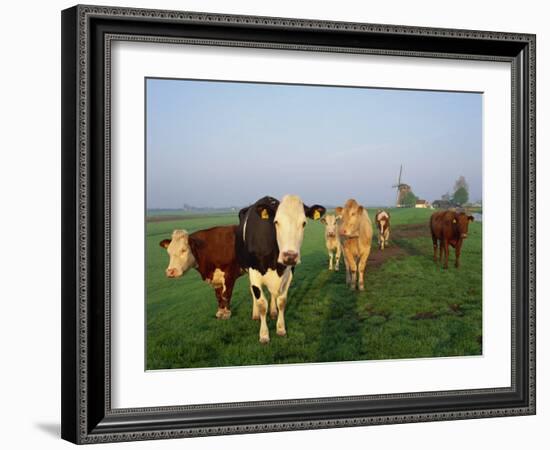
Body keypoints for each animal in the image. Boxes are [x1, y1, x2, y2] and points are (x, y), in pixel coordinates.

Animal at [237, 194, 328, 344]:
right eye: (276, 222)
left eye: (304, 223)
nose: (290, 256)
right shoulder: (254, 272)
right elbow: (262, 304)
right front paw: (264, 334)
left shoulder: (288, 273)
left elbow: (282, 301)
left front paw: (280, 328)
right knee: (253, 292)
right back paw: (255, 314)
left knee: (273, 294)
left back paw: (273, 312)